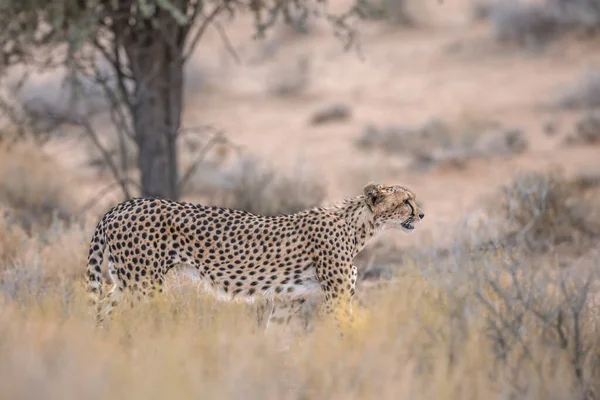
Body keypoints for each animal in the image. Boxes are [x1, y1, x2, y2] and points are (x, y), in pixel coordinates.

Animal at [85, 184, 426, 328]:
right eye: (406, 200)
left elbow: (275, 336)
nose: (421, 214)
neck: (357, 226)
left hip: (125, 281)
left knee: (102, 310)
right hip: (144, 284)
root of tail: (122, 204)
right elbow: (347, 328)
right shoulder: (338, 294)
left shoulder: (290, 298)